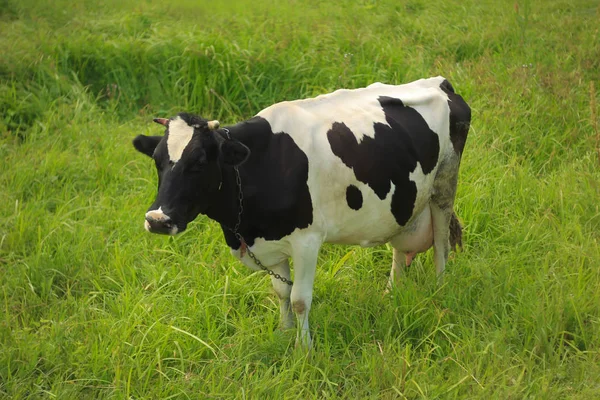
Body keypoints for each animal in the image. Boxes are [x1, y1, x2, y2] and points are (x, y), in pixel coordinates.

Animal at [134, 76, 472, 346]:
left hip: (444, 185)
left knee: (440, 245)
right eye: (157, 160)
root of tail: (439, 82)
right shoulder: (272, 244)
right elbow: (280, 293)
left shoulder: (307, 240)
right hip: (405, 200)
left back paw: (439, 291)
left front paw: (304, 348)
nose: (157, 220)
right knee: (400, 250)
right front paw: (284, 333)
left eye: (200, 161)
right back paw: (391, 295)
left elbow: (299, 299)